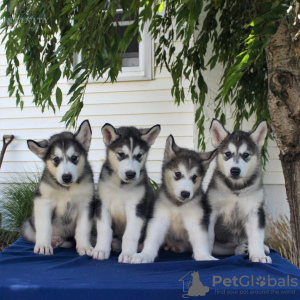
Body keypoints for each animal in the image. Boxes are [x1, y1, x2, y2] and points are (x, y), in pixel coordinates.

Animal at [22, 120, 94, 256]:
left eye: (74, 158)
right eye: (56, 159)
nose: (66, 177)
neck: (67, 189)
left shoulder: (86, 204)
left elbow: (82, 229)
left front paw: (84, 246)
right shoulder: (43, 201)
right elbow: (44, 226)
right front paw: (43, 246)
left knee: (70, 241)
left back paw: (60, 241)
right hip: (27, 226)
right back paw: (54, 240)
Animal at [92, 122, 161, 262]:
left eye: (139, 155)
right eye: (120, 154)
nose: (131, 174)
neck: (121, 185)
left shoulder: (137, 207)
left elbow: (130, 233)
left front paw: (128, 254)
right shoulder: (102, 204)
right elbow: (104, 229)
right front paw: (101, 249)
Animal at [130, 135, 217, 264]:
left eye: (194, 177)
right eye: (178, 174)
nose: (185, 194)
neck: (178, 205)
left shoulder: (196, 221)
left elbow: (200, 241)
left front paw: (204, 256)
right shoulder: (158, 220)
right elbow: (151, 240)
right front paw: (145, 255)